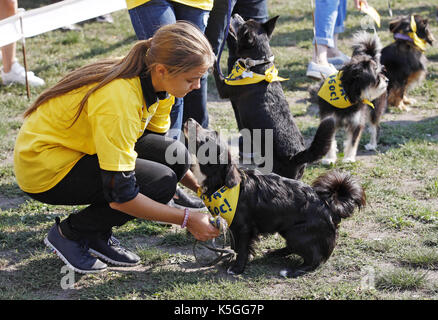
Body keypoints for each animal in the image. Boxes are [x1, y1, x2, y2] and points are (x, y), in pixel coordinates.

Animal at [183, 118, 364, 278]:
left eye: (207, 138)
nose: (190, 119)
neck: (221, 184)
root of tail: (329, 205)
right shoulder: (233, 226)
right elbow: (235, 246)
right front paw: (230, 259)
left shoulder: (244, 228)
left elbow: (242, 249)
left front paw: (237, 267)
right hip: (288, 230)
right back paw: (276, 253)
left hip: (296, 233)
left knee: (315, 260)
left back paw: (292, 271)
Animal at [214, 13, 334, 180]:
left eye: (241, 25)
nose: (235, 14)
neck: (257, 63)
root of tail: (296, 155)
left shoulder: (224, 89)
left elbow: (216, 65)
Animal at [312, 31, 386, 165]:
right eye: (376, 76)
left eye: (381, 72)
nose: (386, 80)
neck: (348, 94)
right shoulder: (329, 120)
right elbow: (329, 140)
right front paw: (329, 159)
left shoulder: (357, 122)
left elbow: (353, 142)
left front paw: (348, 158)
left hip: (374, 111)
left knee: (375, 127)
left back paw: (372, 144)